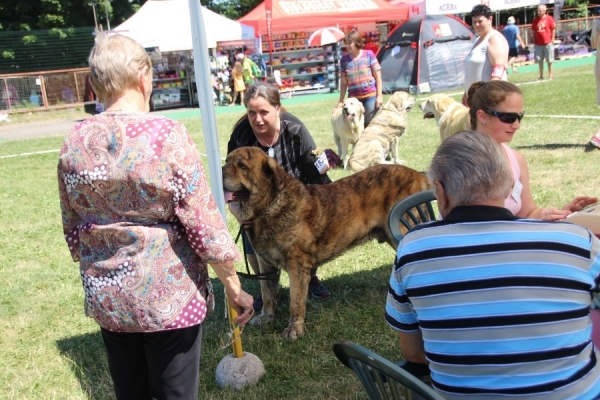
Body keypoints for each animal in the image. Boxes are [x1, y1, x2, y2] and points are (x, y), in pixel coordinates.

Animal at [223, 148, 428, 340]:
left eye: (241, 165)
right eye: (227, 161)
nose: (221, 170)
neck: (269, 206)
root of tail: (420, 175)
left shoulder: (297, 267)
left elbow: (295, 302)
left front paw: (294, 329)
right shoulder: (266, 265)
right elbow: (267, 295)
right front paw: (266, 318)